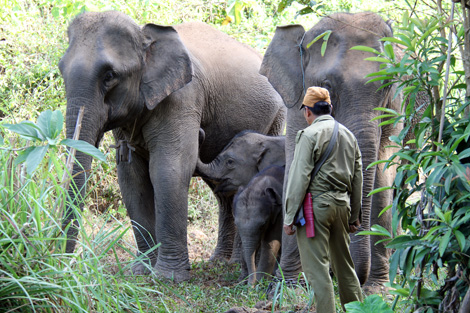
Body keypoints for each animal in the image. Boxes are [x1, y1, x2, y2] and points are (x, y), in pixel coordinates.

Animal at [60, 11, 284, 282]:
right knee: (223, 191)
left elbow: (168, 170)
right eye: (61, 70)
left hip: (275, 118)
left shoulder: (182, 99)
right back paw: (221, 261)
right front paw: (141, 271)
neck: (144, 36)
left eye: (109, 76)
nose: (64, 266)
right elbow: (132, 178)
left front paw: (168, 278)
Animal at [258, 12, 402, 290]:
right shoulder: (297, 100)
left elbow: (382, 172)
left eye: (388, 85)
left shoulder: (397, 105)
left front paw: (377, 291)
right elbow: (294, 167)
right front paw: (287, 287)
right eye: (326, 86)